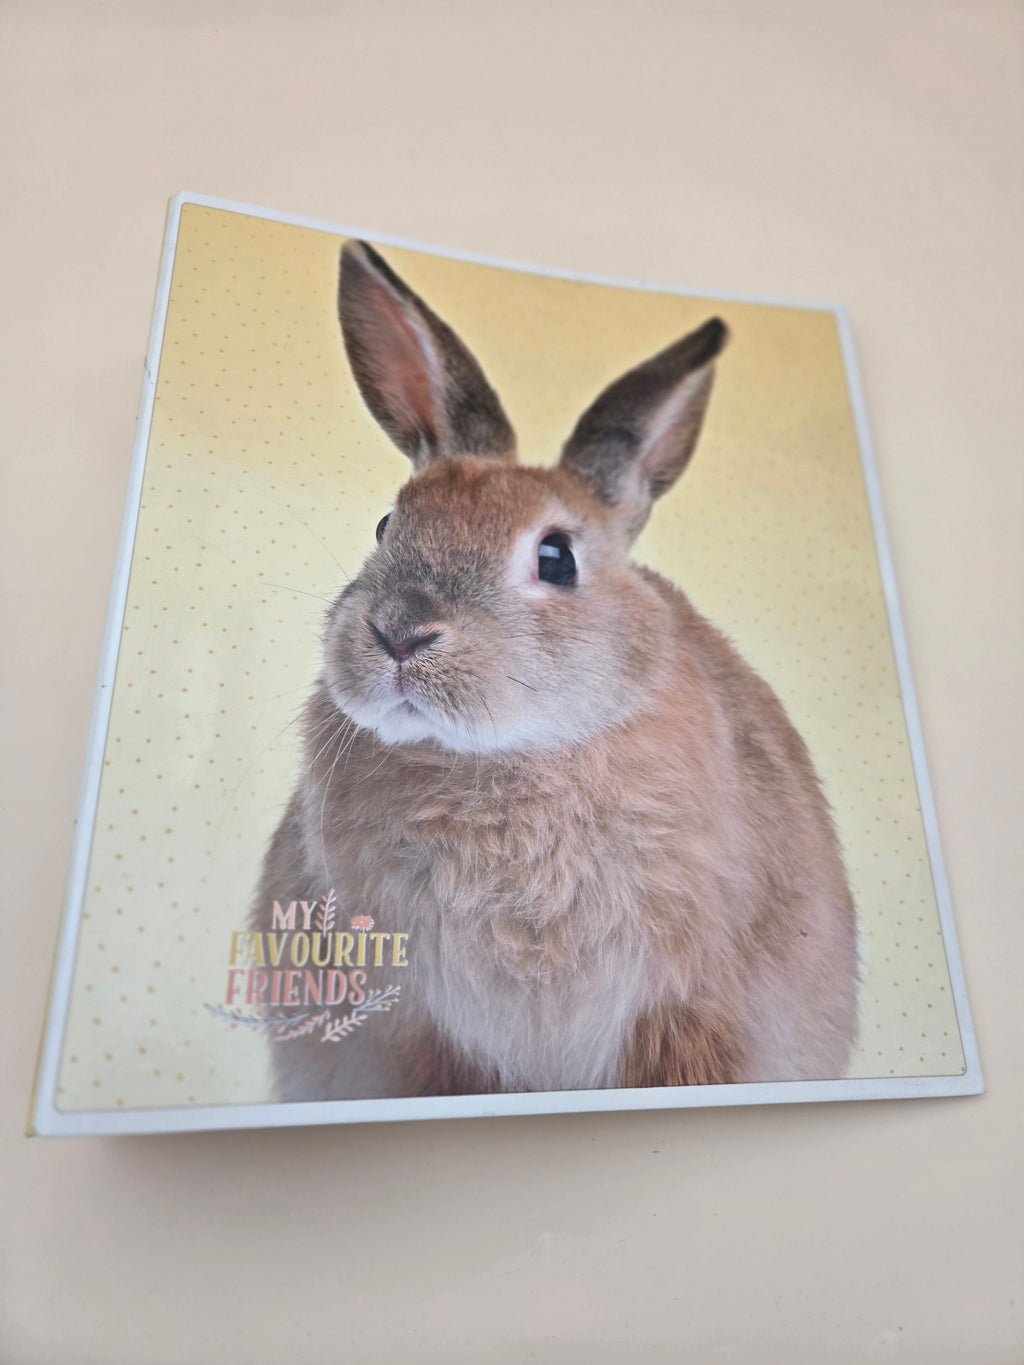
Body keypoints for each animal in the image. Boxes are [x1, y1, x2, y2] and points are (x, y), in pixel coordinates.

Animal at [251, 240, 859, 1103]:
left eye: (557, 558)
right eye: (386, 524)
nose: (398, 633)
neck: (504, 762)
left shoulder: (686, 1013)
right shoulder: (426, 1032)